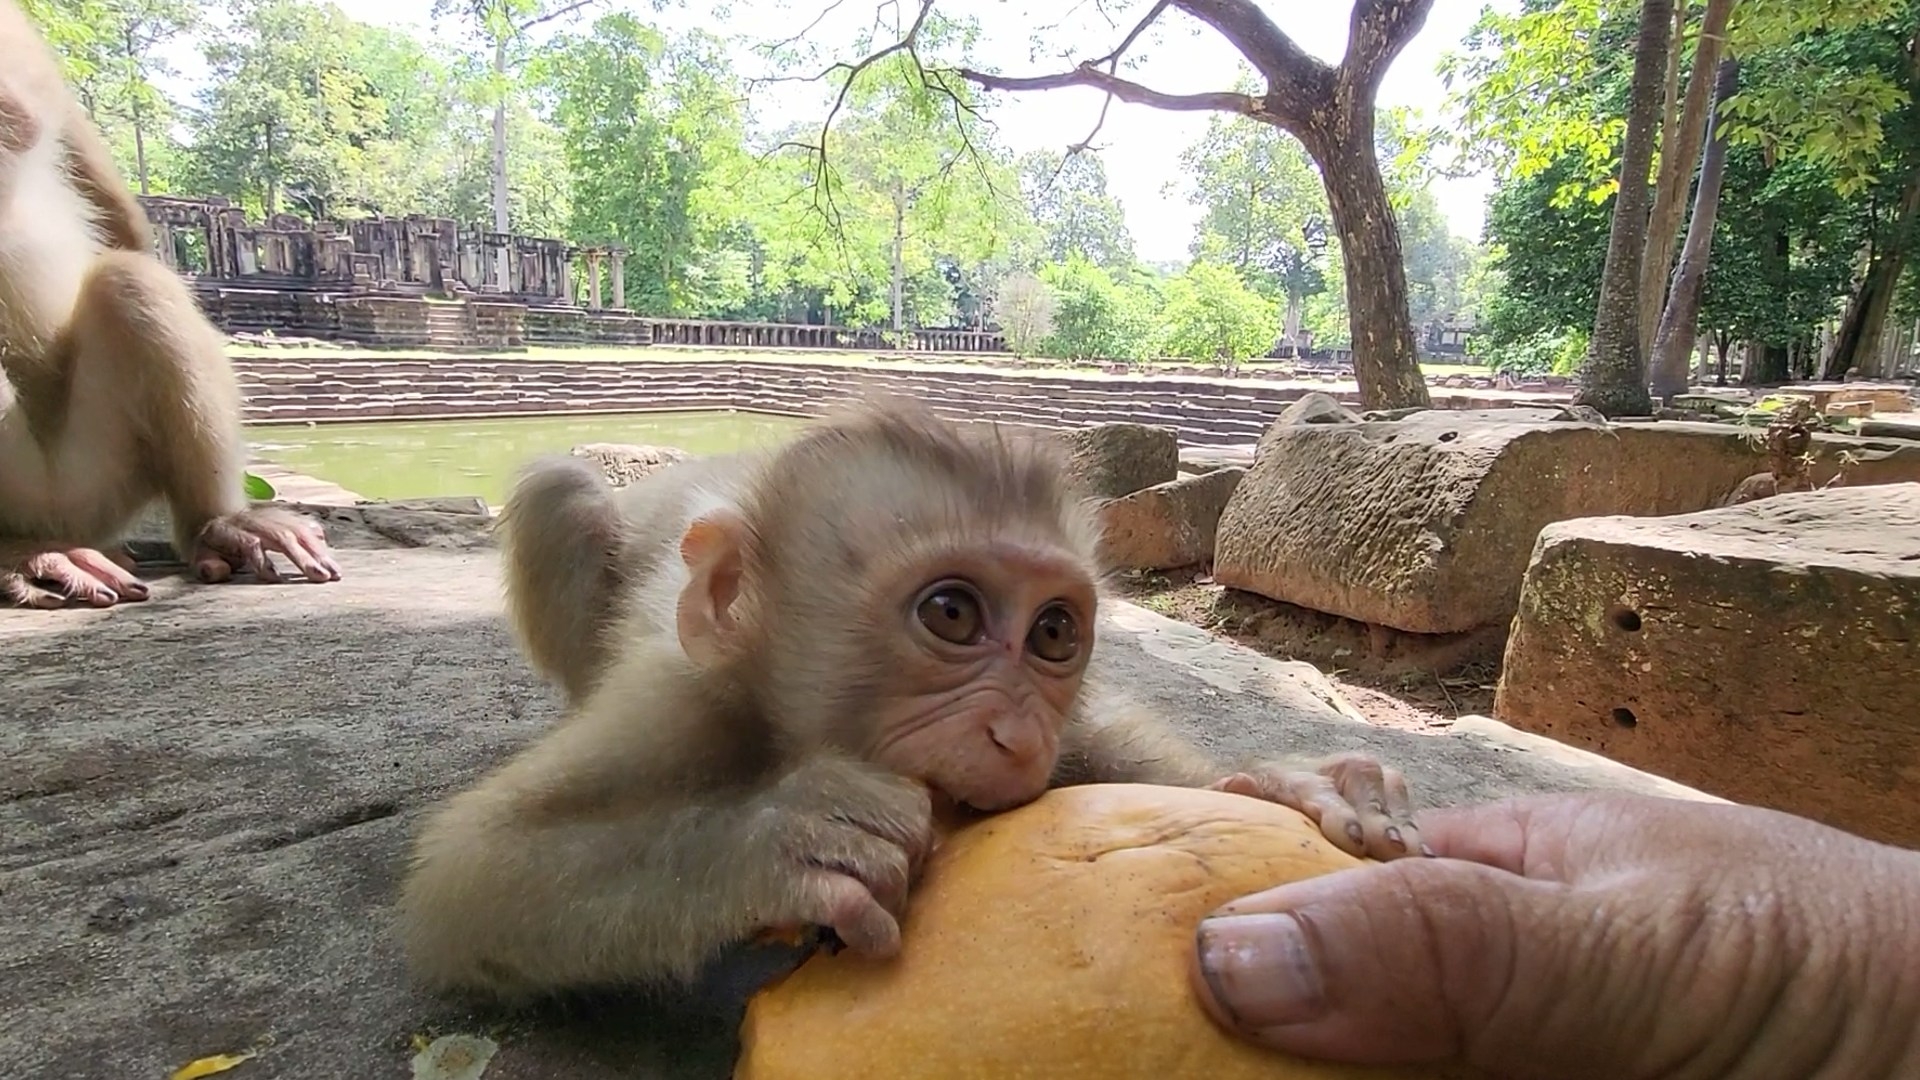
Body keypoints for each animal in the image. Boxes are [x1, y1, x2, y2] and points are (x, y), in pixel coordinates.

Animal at [0, 0, 341, 609]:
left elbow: (121, 225)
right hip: (44, 494)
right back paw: (20, 554)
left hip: (94, 481)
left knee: (132, 282)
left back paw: (220, 525)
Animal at [399, 399, 1425, 1002]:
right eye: (951, 613)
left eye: (1056, 634)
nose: (1016, 735)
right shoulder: (679, 705)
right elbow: (472, 874)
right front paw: (790, 836)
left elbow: (1097, 738)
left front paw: (1294, 784)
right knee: (561, 488)